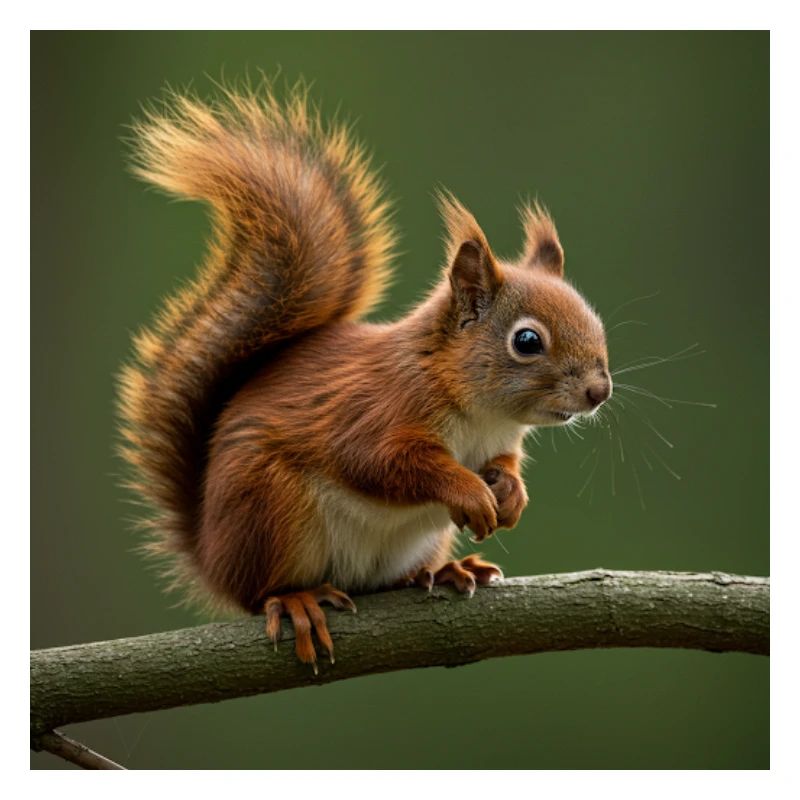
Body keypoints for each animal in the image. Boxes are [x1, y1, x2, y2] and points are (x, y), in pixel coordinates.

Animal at [118, 84, 612, 671]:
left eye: (598, 323)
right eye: (528, 341)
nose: (599, 391)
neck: (480, 413)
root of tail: (211, 556)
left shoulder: (499, 442)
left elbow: (505, 465)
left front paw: (511, 493)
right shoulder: (375, 411)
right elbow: (384, 463)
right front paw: (467, 490)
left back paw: (443, 571)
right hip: (271, 508)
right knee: (261, 591)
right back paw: (297, 600)